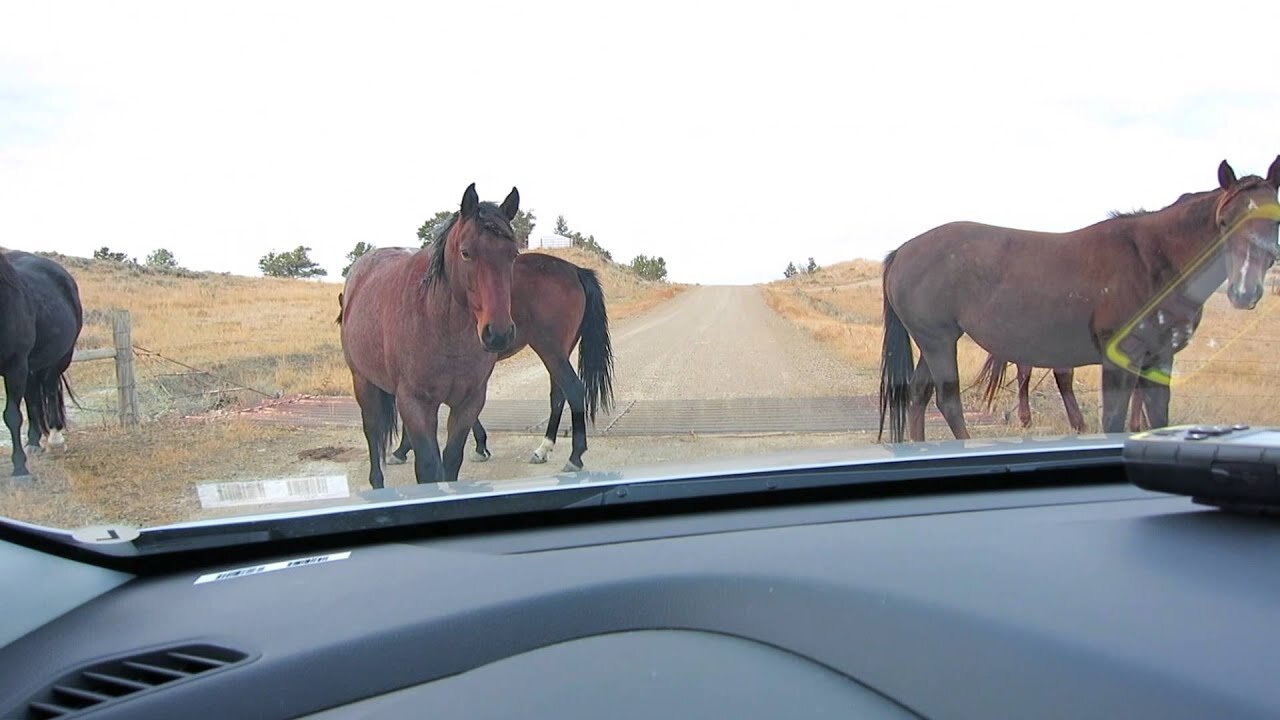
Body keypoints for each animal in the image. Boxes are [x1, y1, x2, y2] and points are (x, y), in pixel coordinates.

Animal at [0, 249, 83, 479]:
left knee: (49, 390)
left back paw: (55, 439)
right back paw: (34, 442)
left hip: (58, 359)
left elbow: (12, 416)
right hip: (31, 367)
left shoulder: (15, 365)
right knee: (33, 398)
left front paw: (20, 469)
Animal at [384, 251, 614, 471]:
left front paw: (401, 450)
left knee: (574, 390)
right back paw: (543, 449)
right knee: (558, 395)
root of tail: (576, 270)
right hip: (558, 353)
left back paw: (575, 457)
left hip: (551, 350)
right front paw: (481, 446)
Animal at [880, 154, 1280, 440]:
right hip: (937, 340)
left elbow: (1157, 417)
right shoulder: (1120, 359)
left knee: (918, 394)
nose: (1244, 292)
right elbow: (1114, 420)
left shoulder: (1160, 358)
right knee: (946, 399)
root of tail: (903, 251)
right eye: (1225, 223)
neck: (1152, 260)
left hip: (935, 341)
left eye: (1275, 222)